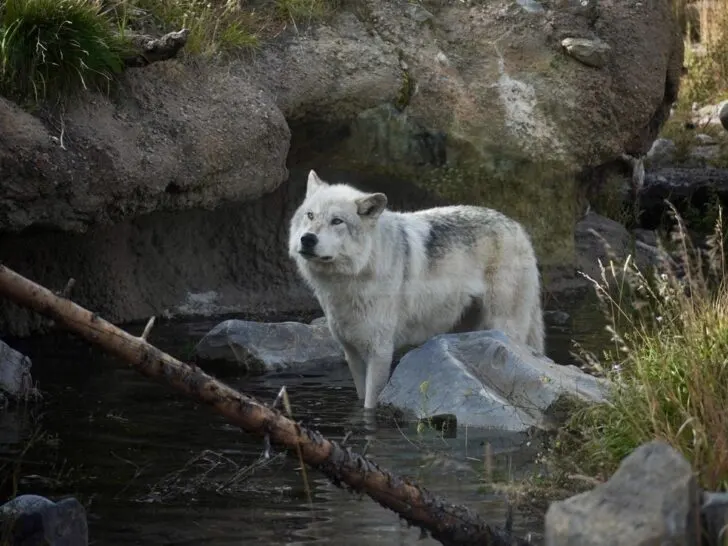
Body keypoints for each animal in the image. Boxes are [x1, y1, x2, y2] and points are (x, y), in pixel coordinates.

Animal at [288, 170, 544, 408]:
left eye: (337, 221)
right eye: (310, 215)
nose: (307, 239)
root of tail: (518, 227)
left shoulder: (380, 352)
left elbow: (370, 404)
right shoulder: (352, 353)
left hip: (502, 326)